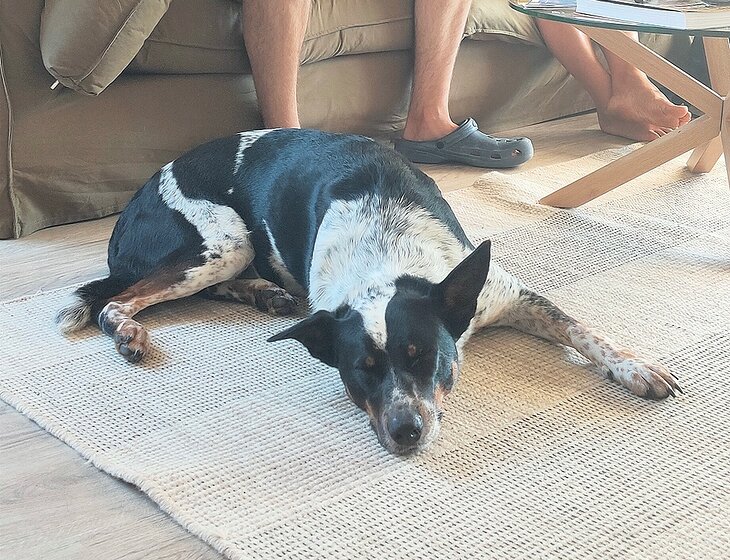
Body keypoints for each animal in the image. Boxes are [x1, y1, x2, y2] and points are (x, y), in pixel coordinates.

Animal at [57, 129, 682, 456]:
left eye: (425, 359)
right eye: (360, 371)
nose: (407, 433)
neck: (388, 253)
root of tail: (129, 212)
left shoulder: (506, 294)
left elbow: (585, 330)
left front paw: (636, 368)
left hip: (228, 248)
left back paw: (266, 294)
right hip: (222, 240)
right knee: (118, 299)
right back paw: (131, 330)